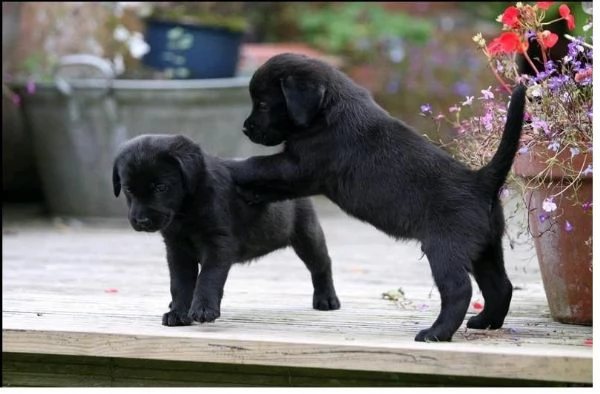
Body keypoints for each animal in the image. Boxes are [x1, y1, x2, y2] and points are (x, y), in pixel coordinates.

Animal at [110, 135, 340, 326]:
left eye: (160, 188)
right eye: (128, 189)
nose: (141, 221)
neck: (186, 210)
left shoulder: (218, 243)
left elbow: (208, 277)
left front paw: (203, 309)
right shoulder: (177, 250)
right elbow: (180, 283)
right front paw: (179, 312)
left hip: (307, 236)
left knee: (322, 265)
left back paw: (327, 299)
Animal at [225, 52, 524, 342]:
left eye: (263, 104)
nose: (245, 128)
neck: (328, 109)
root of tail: (481, 182)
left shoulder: (300, 166)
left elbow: (258, 164)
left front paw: (231, 167)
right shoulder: (299, 175)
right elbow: (272, 182)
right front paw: (250, 191)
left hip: (445, 249)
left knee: (459, 290)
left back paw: (436, 333)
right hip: (485, 248)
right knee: (501, 286)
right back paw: (486, 322)